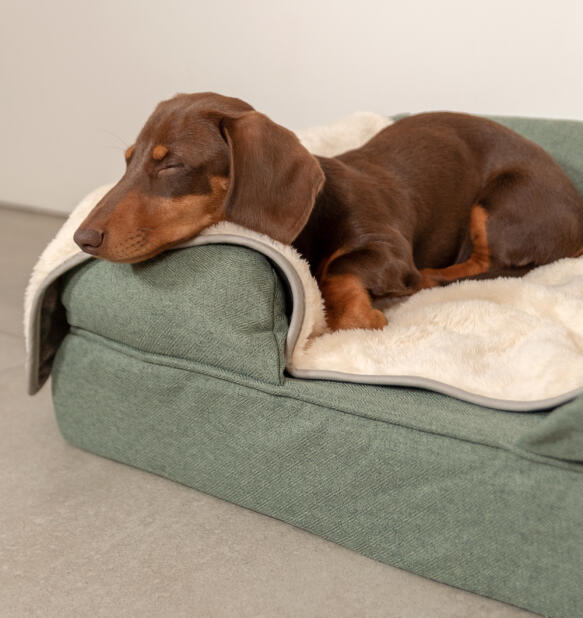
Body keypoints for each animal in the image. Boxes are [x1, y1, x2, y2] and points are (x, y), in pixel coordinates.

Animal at [75, 91, 583, 330]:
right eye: (128, 160)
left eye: (172, 164)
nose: (82, 238)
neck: (318, 214)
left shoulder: (388, 247)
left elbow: (337, 267)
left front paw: (356, 316)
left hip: (504, 200)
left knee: (491, 265)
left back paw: (434, 277)